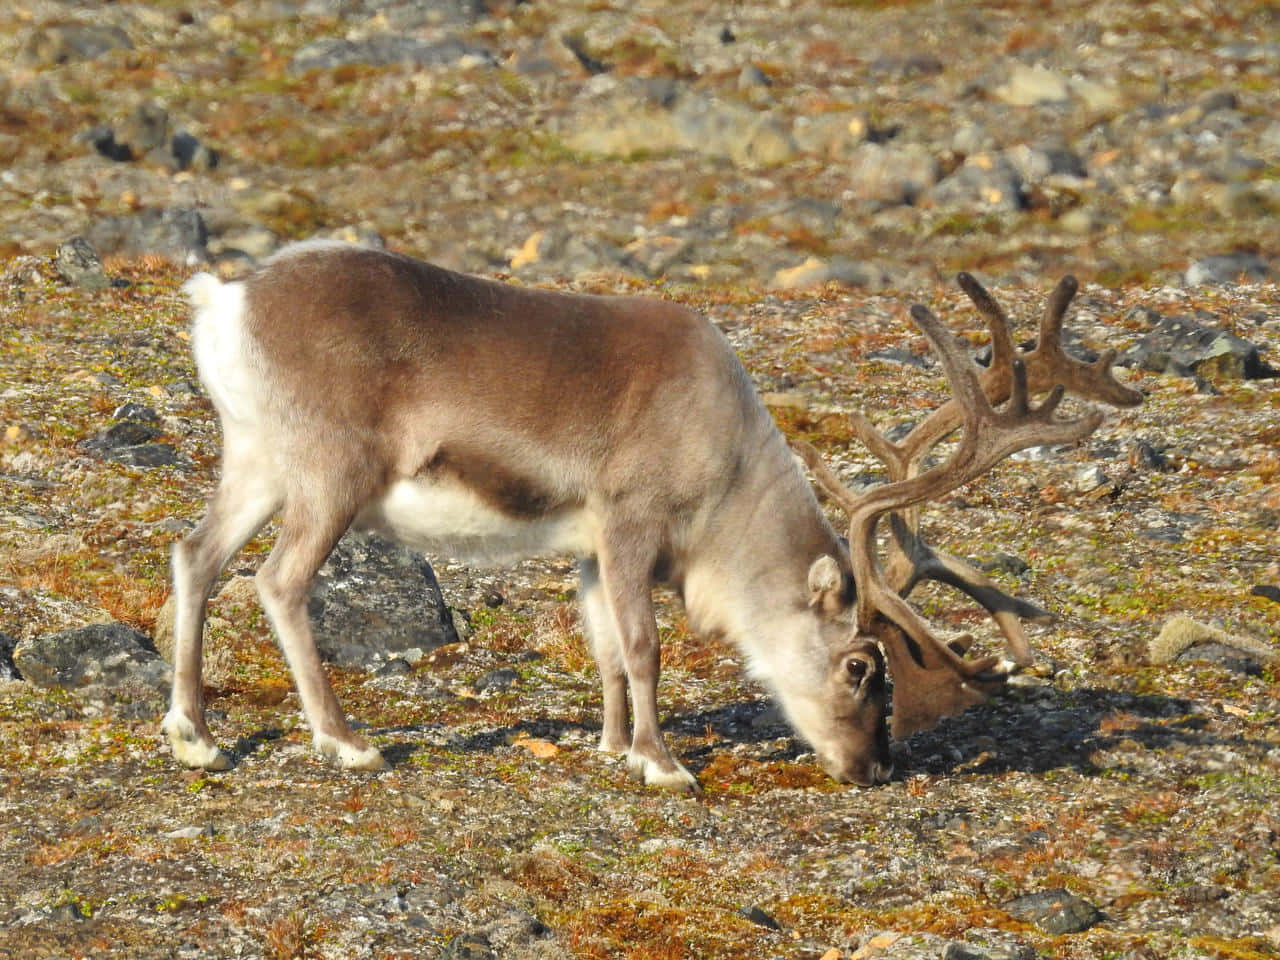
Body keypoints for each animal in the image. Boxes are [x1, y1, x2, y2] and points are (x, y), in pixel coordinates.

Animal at [162, 239, 1139, 790]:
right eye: (863, 666)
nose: (873, 768)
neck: (730, 469)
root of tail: (225, 301)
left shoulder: (590, 549)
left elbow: (602, 649)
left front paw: (609, 746)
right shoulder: (632, 522)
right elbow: (645, 647)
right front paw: (662, 764)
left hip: (256, 464)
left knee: (195, 555)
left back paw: (195, 735)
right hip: (331, 473)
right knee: (277, 580)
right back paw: (345, 741)